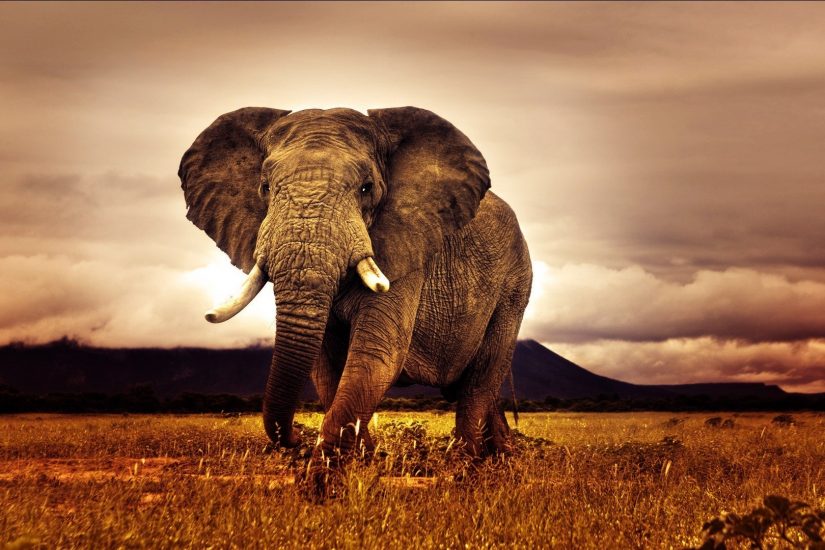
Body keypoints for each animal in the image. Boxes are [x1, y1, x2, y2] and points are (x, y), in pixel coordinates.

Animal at [178, 106, 532, 461]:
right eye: (264, 187)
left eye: (366, 188)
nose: (295, 437)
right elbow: (326, 365)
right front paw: (365, 457)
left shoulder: (405, 248)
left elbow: (376, 354)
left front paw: (332, 462)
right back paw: (501, 455)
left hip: (515, 285)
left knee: (481, 378)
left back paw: (467, 460)